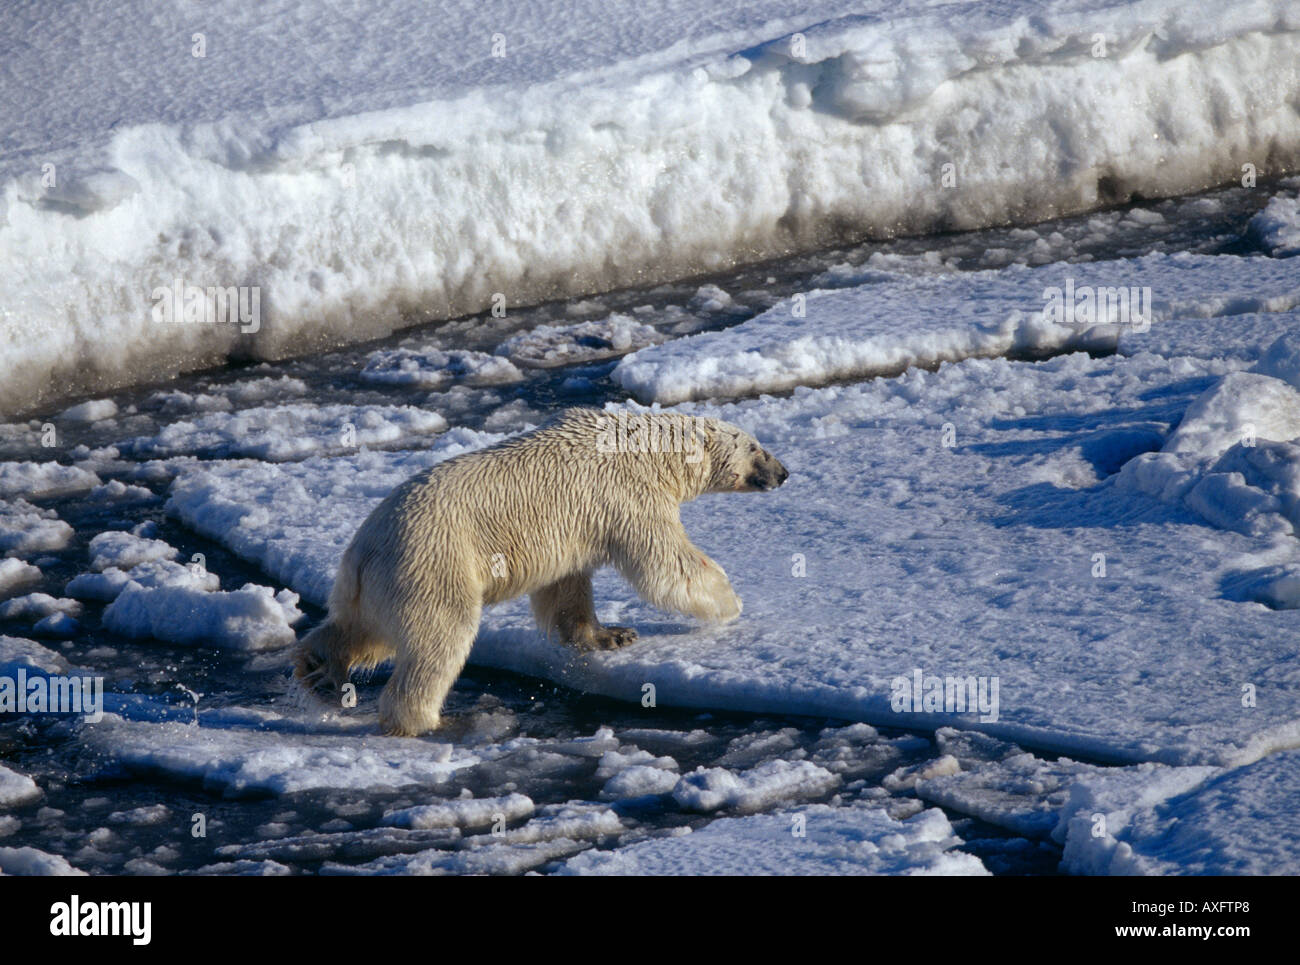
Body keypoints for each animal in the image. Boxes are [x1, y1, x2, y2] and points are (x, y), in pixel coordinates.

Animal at [295, 405, 785, 733]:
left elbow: (566, 587)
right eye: (756, 447)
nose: (784, 472)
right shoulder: (626, 493)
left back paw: (318, 669)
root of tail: (364, 550)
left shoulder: (576, 528)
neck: (643, 448)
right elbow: (664, 561)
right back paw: (433, 720)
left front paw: (611, 635)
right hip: (432, 564)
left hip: (377, 583)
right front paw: (729, 601)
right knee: (439, 637)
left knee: (361, 630)